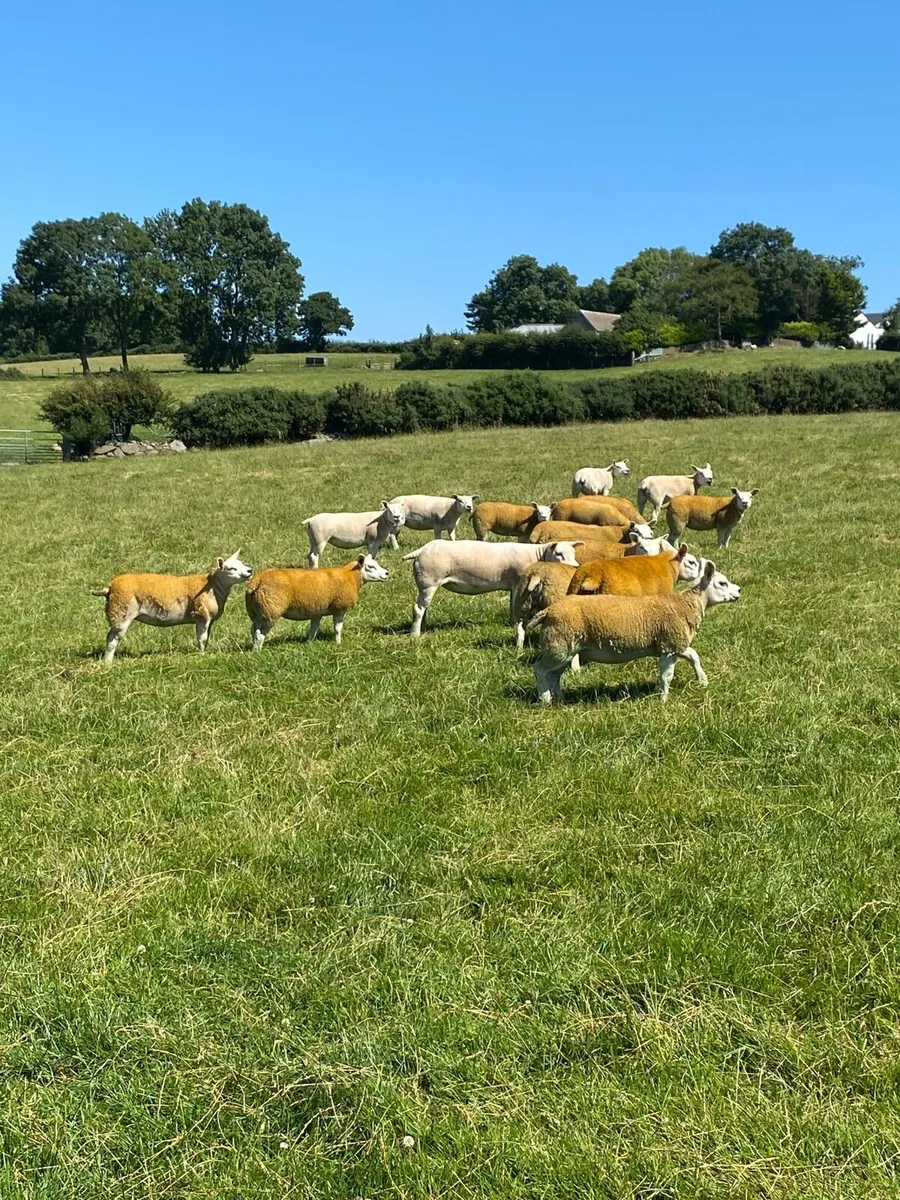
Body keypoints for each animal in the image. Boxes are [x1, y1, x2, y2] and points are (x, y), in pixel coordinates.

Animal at [92, 550, 254, 663]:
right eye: (231, 569)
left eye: (242, 564)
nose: (250, 571)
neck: (213, 586)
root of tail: (110, 587)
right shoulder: (202, 615)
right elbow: (201, 638)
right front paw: (202, 655)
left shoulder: (209, 619)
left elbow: (206, 638)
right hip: (121, 613)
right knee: (112, 640)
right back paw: (107, 663)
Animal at [245, 553, 389, 649]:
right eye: (370, 567)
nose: (387, 573)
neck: (351, 576)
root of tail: (257, 580)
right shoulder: (339, 608)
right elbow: (338, 629)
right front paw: (338, 644)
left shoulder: (316, 611)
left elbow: (313, 630)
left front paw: (309, 644)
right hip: (271, 610)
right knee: (260, 634)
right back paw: (258, 651)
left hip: (257, 610)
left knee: (253, 630)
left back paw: (253, 649)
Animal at [404, 539, 582, 637]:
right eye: (559, 553)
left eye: (574, 553)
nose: (575, 566)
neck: (537, 555)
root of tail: (423, 549)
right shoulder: (518, 583)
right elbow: (515, 605)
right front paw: (515, 623)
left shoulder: (513, 585)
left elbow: (511, 604)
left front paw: (511, 623)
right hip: (429, 581)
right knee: (418, 608)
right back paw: (415, 634)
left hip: (426, 585)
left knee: (424, 608)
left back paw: (423, 628)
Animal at [529, 558, 741, 703]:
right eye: (722, 583)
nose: (739, 591)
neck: (686, 605)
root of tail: (548, 611)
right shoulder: (669, 645)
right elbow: (667, 676)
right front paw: (663, 699)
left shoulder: (676, 644)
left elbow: (694, 656)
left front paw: (702, 681)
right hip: (559, 645)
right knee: (540, 669)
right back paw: (545, 699)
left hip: (565, 649)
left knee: (554, 675)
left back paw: (560, 699)